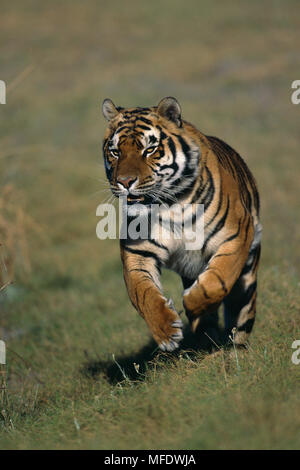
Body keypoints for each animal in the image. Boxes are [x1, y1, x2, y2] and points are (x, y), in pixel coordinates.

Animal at [101, 97, 260, 350]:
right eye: (115, 152)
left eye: (149, 149)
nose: (124, 182)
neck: (169, 206)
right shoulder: (137, 252)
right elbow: (142, 294)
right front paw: (166, 331)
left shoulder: (235, 236)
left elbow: (218, 280)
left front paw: (193, 305)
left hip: (248, 275)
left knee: (241, 314)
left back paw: (234, 348)